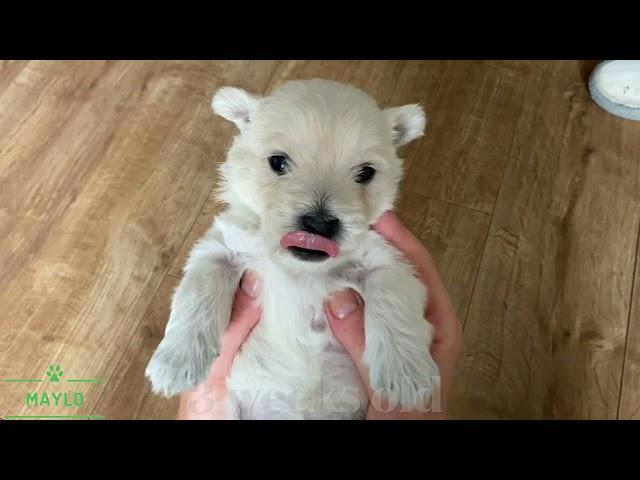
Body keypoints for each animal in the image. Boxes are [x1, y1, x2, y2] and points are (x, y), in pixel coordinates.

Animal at [146, 79, 440, 420]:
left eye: (366, 172)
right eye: (278, 162)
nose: (319, 223)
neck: (298, 266)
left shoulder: (385, 260)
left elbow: (392, 298)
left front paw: (406, 375)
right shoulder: (221, 247)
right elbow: (198, 291)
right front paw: (177, 361)